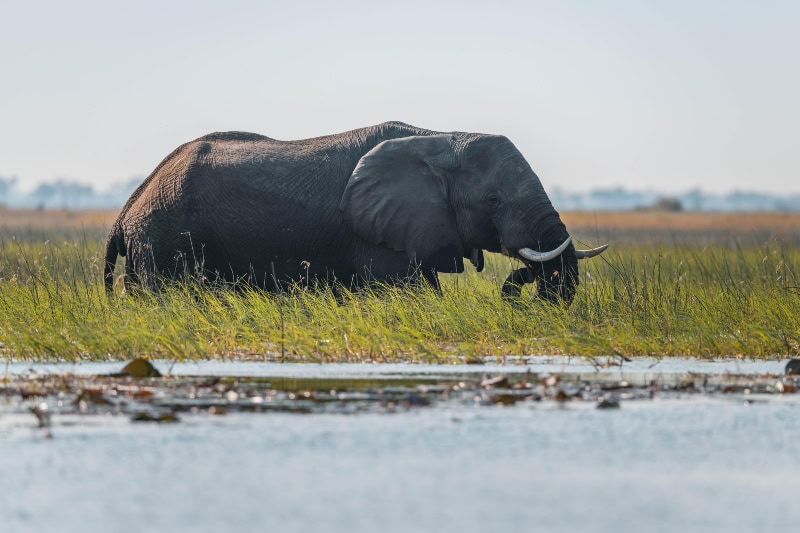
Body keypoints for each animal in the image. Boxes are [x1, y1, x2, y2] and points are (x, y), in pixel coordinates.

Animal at [103, 121, 607, 303]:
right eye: (494, 201)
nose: (521, 285)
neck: (441, 136)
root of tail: (127, 209)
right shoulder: (376, 235)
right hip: (164, 239)